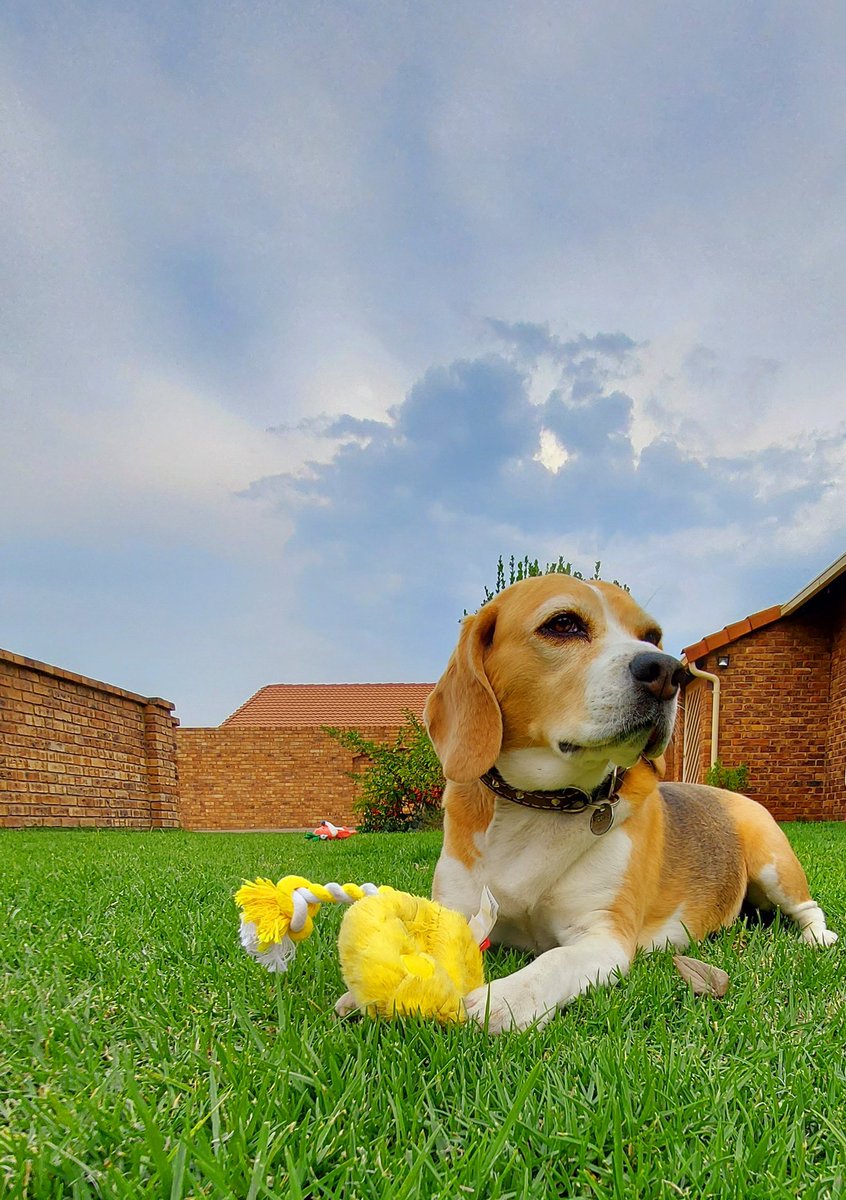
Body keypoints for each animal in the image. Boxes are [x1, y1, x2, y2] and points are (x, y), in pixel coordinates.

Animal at [423, 573, 837, 1033]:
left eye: (652, 637)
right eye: (563, 624)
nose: (667, 671)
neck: (542, 804)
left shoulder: (603, 937)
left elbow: (553, 962)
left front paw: (502, 1000)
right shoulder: (454, 913)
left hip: (775, 865)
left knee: (809, 908)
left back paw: (818, 938)